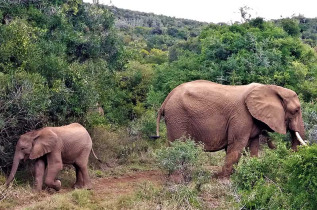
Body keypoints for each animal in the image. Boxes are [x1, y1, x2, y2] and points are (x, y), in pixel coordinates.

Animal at [154, 80, 306, 177]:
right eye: (296, 110)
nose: (273, 143)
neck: (270, 88)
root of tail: (166, 100)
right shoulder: (241, 116)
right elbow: (237, 145)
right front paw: (222, 177)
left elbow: (253, 146)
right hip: (177, 117)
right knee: (177, 145)